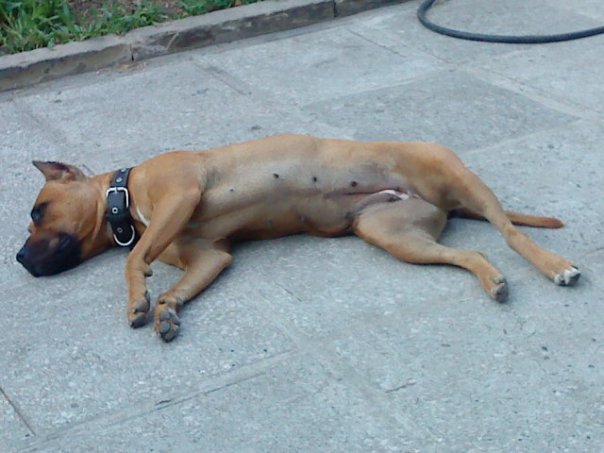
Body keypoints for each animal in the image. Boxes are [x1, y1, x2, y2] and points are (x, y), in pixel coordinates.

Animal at [16, 134, 580, 341]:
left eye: (38, 211)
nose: (20, 258)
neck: (124, 195)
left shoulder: (180, 192)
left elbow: (132, 260)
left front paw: (139, 298)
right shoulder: (212, 258)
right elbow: (180, 285)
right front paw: (168, 309)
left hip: (458, 180)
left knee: (509, 233)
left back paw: (554, 266)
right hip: (392, 234)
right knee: (473, 250)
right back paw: (491, 280)